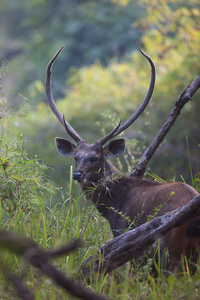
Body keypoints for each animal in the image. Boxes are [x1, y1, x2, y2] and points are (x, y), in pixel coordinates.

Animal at [45, 47, 200, 262]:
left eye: (96, 158)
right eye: (76, 157)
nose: (77, 174)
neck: (113, 205)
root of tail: (194, 221)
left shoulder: (123, 234)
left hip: (169, 249)